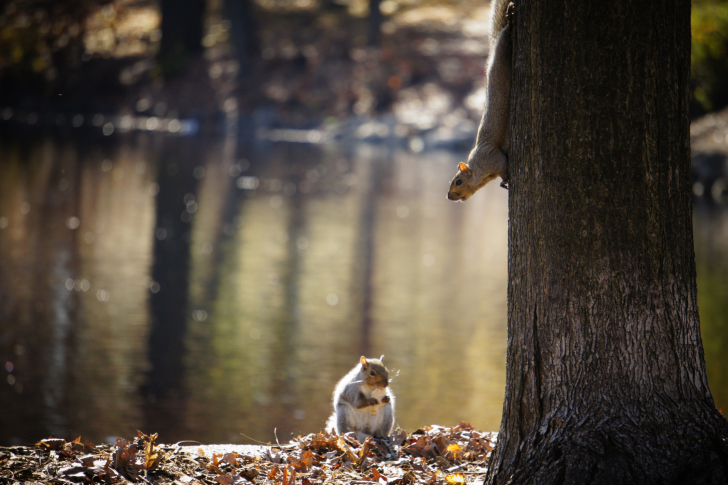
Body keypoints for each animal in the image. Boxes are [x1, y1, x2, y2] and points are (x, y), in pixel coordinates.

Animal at [446, 0, 516, 200]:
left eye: (458, 181)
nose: (448, 196)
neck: (478, 167)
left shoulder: (493, 158)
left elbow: (503, 164)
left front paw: (505, 180)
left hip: (502, 55)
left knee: (505, 38)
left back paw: (510, 21)